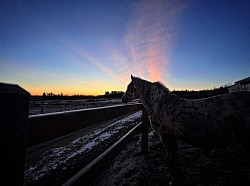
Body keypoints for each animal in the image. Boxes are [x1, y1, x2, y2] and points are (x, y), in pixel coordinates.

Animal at [121, 75, 250, 186]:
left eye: (129, 87)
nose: (122, 99)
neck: (160, 105)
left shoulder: (166, 138)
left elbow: (171, 161)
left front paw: (173, 182)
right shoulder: (172, 139)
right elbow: (176, 160)